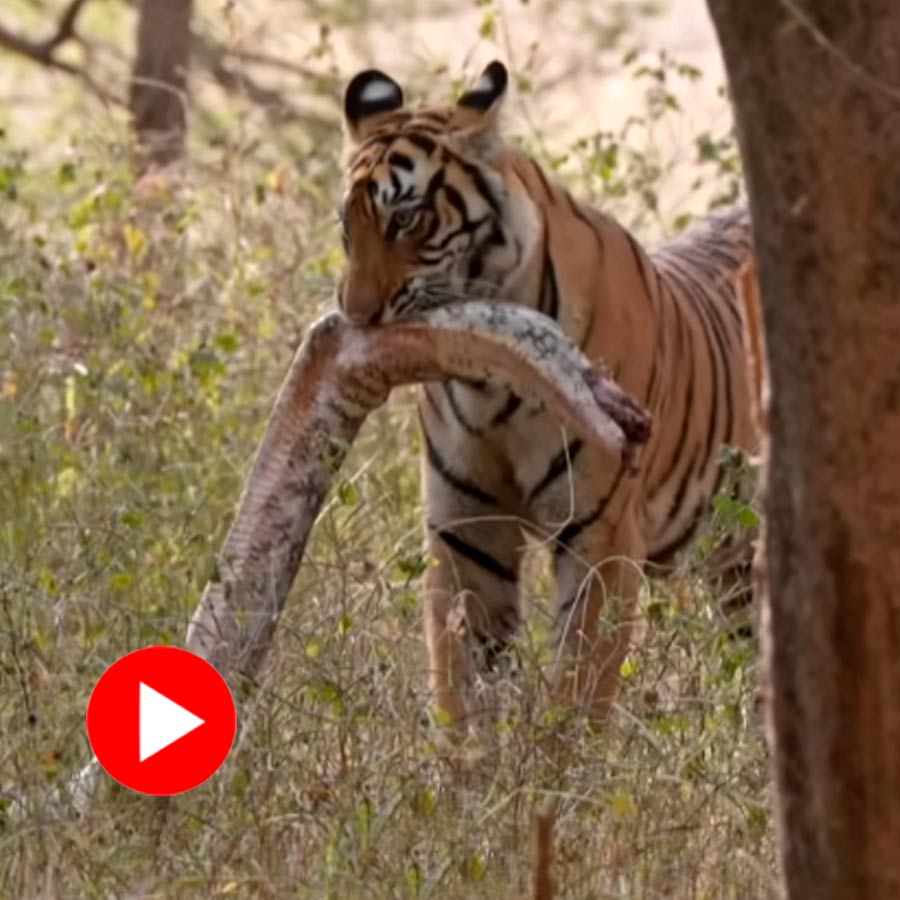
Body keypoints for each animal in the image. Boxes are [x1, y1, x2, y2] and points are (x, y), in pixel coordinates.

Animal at [337, 60, 759, 729]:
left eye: (406, 218)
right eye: (345, 227)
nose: (355, 316)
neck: (487, 385)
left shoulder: (599, 532)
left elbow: (576, 692)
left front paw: (555, 760)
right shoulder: (466, 528)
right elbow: (460, 679)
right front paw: (467, 759)